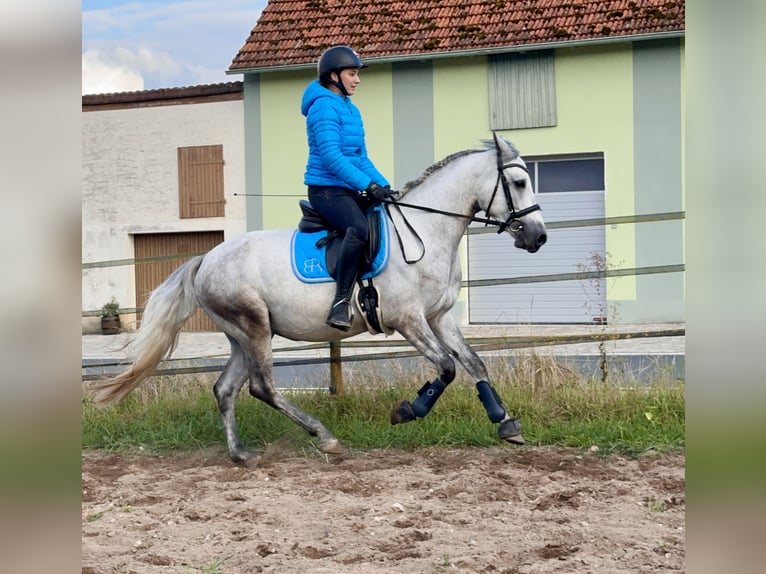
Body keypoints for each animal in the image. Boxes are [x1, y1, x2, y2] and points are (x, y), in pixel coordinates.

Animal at [91, 134, 544, 464]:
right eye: (519, 183)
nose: (538, 237)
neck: (425, 231)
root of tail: (206, 259)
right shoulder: (408, 320)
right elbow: (447, 368)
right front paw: (405, 411)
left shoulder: (440, 317)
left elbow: (474, 363)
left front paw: (506, 423)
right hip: (255, 328)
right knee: (262, 387)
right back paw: (324, 437)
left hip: (242, 335)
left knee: (225, 389)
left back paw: (240, 453)